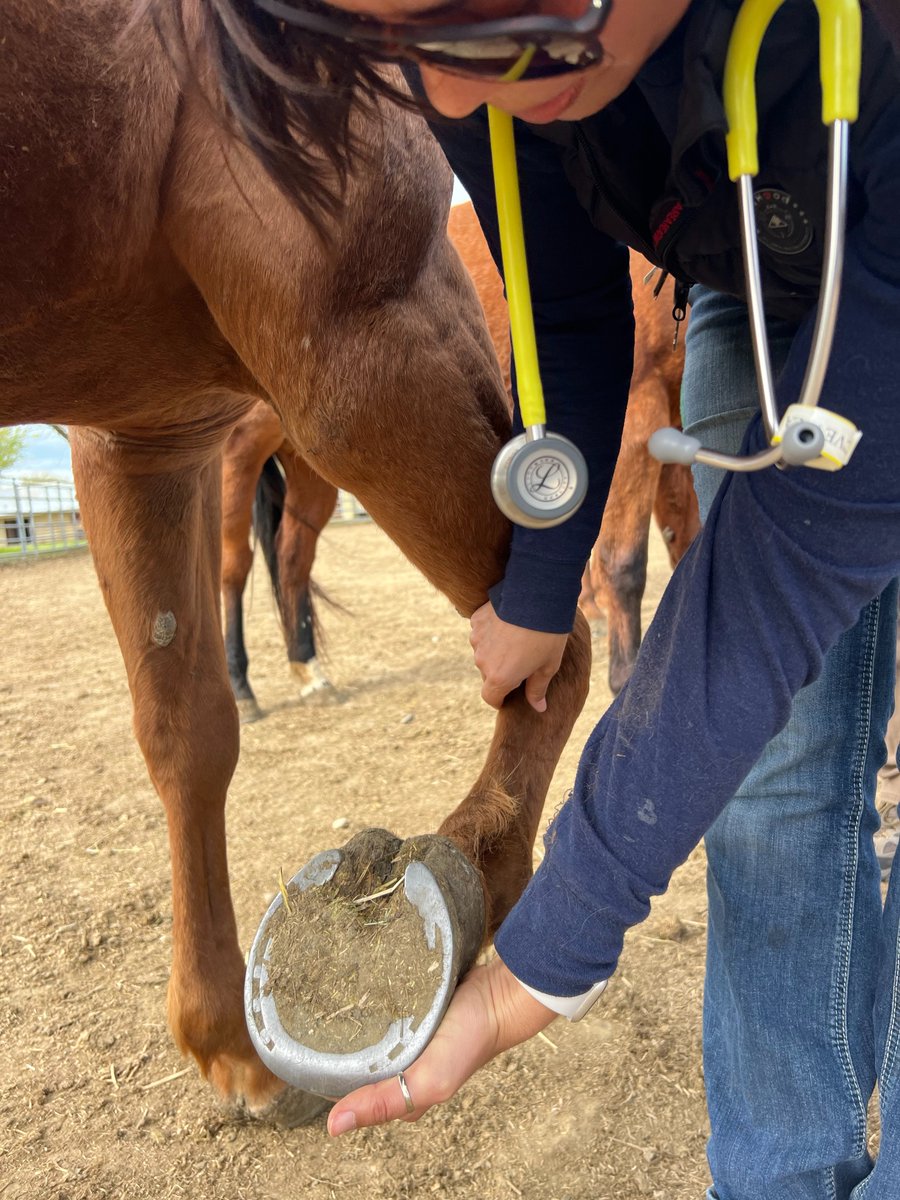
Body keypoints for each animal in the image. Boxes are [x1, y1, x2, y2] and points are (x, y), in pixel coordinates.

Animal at [3, 2, 595, 1123]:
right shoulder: (361, 342)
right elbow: (561, 645)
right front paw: (478, 864)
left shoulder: (141, 435)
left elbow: (184, 734)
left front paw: (225, 1036)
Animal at [222, 201, 700, 715]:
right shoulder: (638, 406)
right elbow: (625, 563)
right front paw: (628, 683)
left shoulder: (674, 420)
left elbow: (684, 540)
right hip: (238, 452)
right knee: (233, 563)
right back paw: (240, 685)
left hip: (309, 464)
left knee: (292, 555)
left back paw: (307, 669)